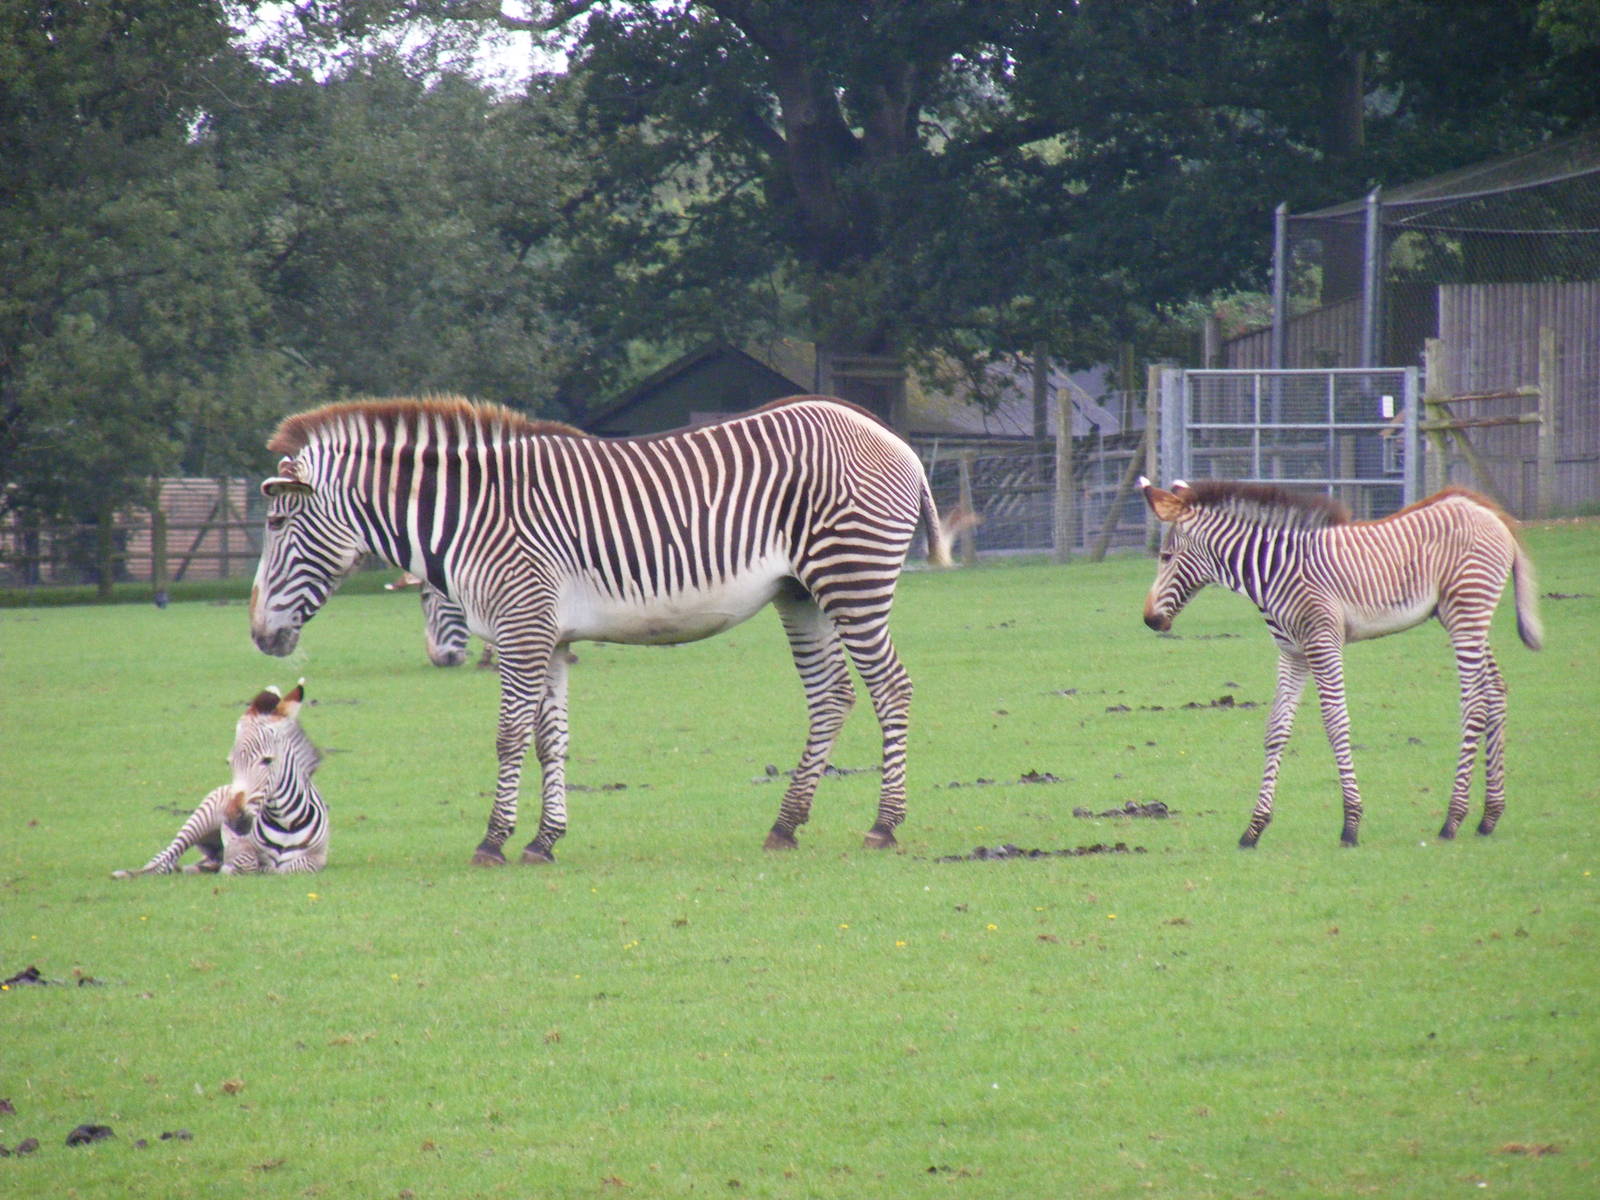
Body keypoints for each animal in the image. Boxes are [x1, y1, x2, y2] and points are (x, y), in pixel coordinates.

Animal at [112, 683, 328, 877]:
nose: (233, 816)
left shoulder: (317, 859)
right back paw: (129, 873)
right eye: (229, 762)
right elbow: (249, 862)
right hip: (200, 820)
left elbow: (295, 867)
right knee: (165, 858)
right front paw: (237, 867)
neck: (285, 823)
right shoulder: (238, 845)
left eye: (267, 760)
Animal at [249, 394, 968, 865]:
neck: (472, 514)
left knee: (890, 689)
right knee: (832, 698)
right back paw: (786, 826)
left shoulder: (521, 628)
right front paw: (544, 840)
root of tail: (893, 439)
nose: (259, 636)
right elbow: (551, 743)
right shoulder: (550, 638)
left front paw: (493, 841)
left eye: (278, 524)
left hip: (852, 579)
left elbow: (508, 738)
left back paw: (884, 825)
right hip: (802, 595)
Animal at [1139, 478, 1542, 847]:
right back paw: (1489, 816)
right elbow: (1276, 729)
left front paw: (1351, 824)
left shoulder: (1322, 642)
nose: (1149, 620)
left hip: (1466, 612)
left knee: (1475, 704)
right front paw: (1254, 829)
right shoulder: (1292, 652)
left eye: (1166, 557)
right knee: (1496, 692)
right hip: (1459, 616)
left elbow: (1335, 723)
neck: (1273, 569)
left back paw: (1452, 820)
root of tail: (1489, 513)